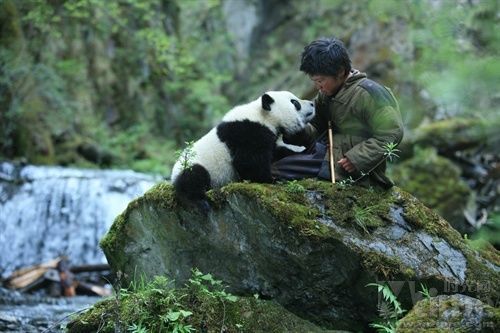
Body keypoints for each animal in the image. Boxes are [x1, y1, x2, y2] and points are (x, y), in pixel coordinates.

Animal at [170, 89, 314, 201]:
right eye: (295, 102)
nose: (312, 103)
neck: (263, 116)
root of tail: (172, 176)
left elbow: (275, 152)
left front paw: (300, 152)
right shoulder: (246, 132)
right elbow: (248, 161)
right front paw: (271, 180)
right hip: (195, 165)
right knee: (193, 177)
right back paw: (199, 200)